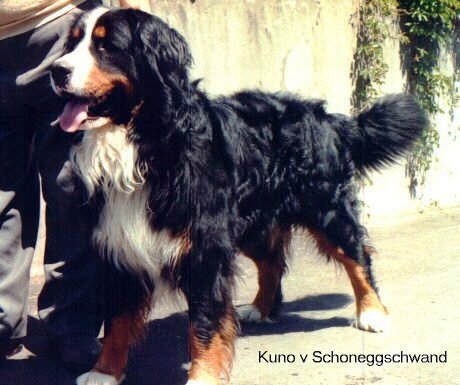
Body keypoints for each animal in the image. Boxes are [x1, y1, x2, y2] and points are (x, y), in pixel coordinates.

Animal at [50, 6, 428, 384]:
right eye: (72, 43)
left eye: (107, 46)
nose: (56, 70)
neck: (147, 143)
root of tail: (327, 117)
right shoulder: (119, 243)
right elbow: (117, 320)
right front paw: (104, 372)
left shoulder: (204, 247)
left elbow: (205, 323)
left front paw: (202, 377)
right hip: (250, 222)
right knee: (272, 261)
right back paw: (260, 308)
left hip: (325, 209)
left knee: (357, 256)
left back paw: (372, 312)